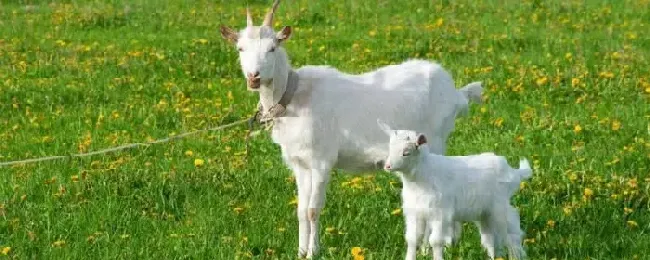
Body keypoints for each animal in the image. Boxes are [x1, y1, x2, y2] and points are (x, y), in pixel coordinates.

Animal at [218, 0, 480, 256]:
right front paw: (301, 251)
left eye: (272, 48)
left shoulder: (322, 160)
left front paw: (313, 252)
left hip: (435, 140)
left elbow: (313, 209)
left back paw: (429, 246)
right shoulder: (300, 163)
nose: (254, 77)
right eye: (240, 48)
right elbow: (301, 210)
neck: (294, 96)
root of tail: (456, 93)